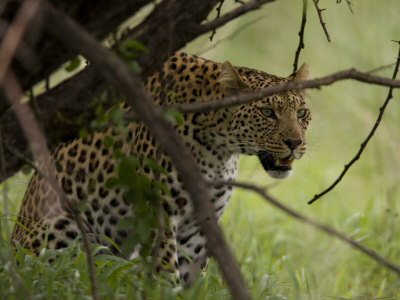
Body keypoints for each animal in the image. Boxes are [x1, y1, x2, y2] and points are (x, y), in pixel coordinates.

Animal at [8, 52, 310, 284]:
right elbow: (166, 271)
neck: (218, 148)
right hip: (60, 229)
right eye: (267, 113)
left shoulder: (200, 223)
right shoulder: (159, 213)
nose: (295, 143)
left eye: (302, 113)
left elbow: (192, 275)